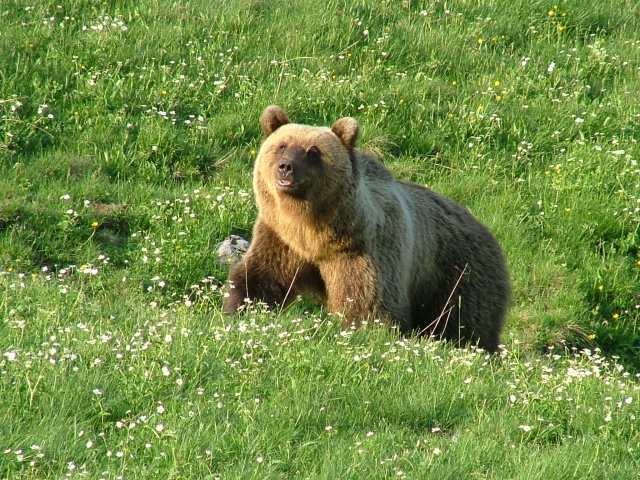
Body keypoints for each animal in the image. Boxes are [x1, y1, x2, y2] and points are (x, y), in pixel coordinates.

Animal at [225, 106, 510, 352]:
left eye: (313, 151)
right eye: (282, 145)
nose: (286, 167)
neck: (313, 232)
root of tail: (485, 230)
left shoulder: (362, 251)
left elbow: (367, 303)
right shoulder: (281, 239)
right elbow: (260, 277)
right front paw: (239, 307)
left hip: (457, 274)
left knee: (465, 321)